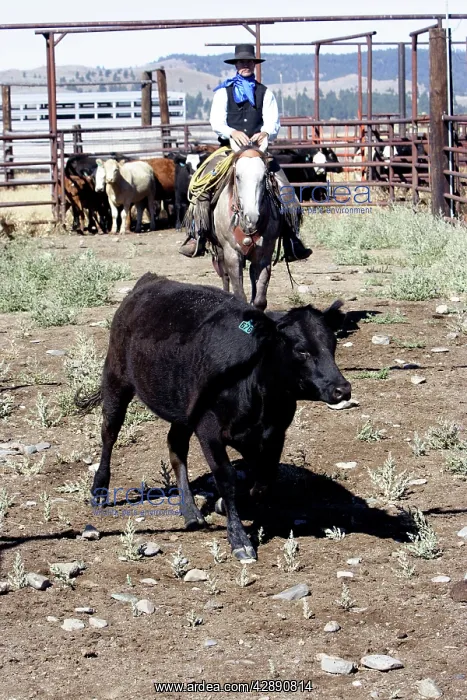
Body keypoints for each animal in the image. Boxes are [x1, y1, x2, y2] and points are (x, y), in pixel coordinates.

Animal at [75, 272, 351, 563]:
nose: (342, 389)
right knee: (109, 433)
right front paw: (239, 539)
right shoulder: (209, 430)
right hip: (116, 380)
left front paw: (223, 505)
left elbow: (263, 481)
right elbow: (227, 478)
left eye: (332, 344)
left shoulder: (273, 434)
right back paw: (100, 491)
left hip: (183, 409)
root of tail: (150, 280)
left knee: (175, 446)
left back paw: (190, 512)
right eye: (302, 350)